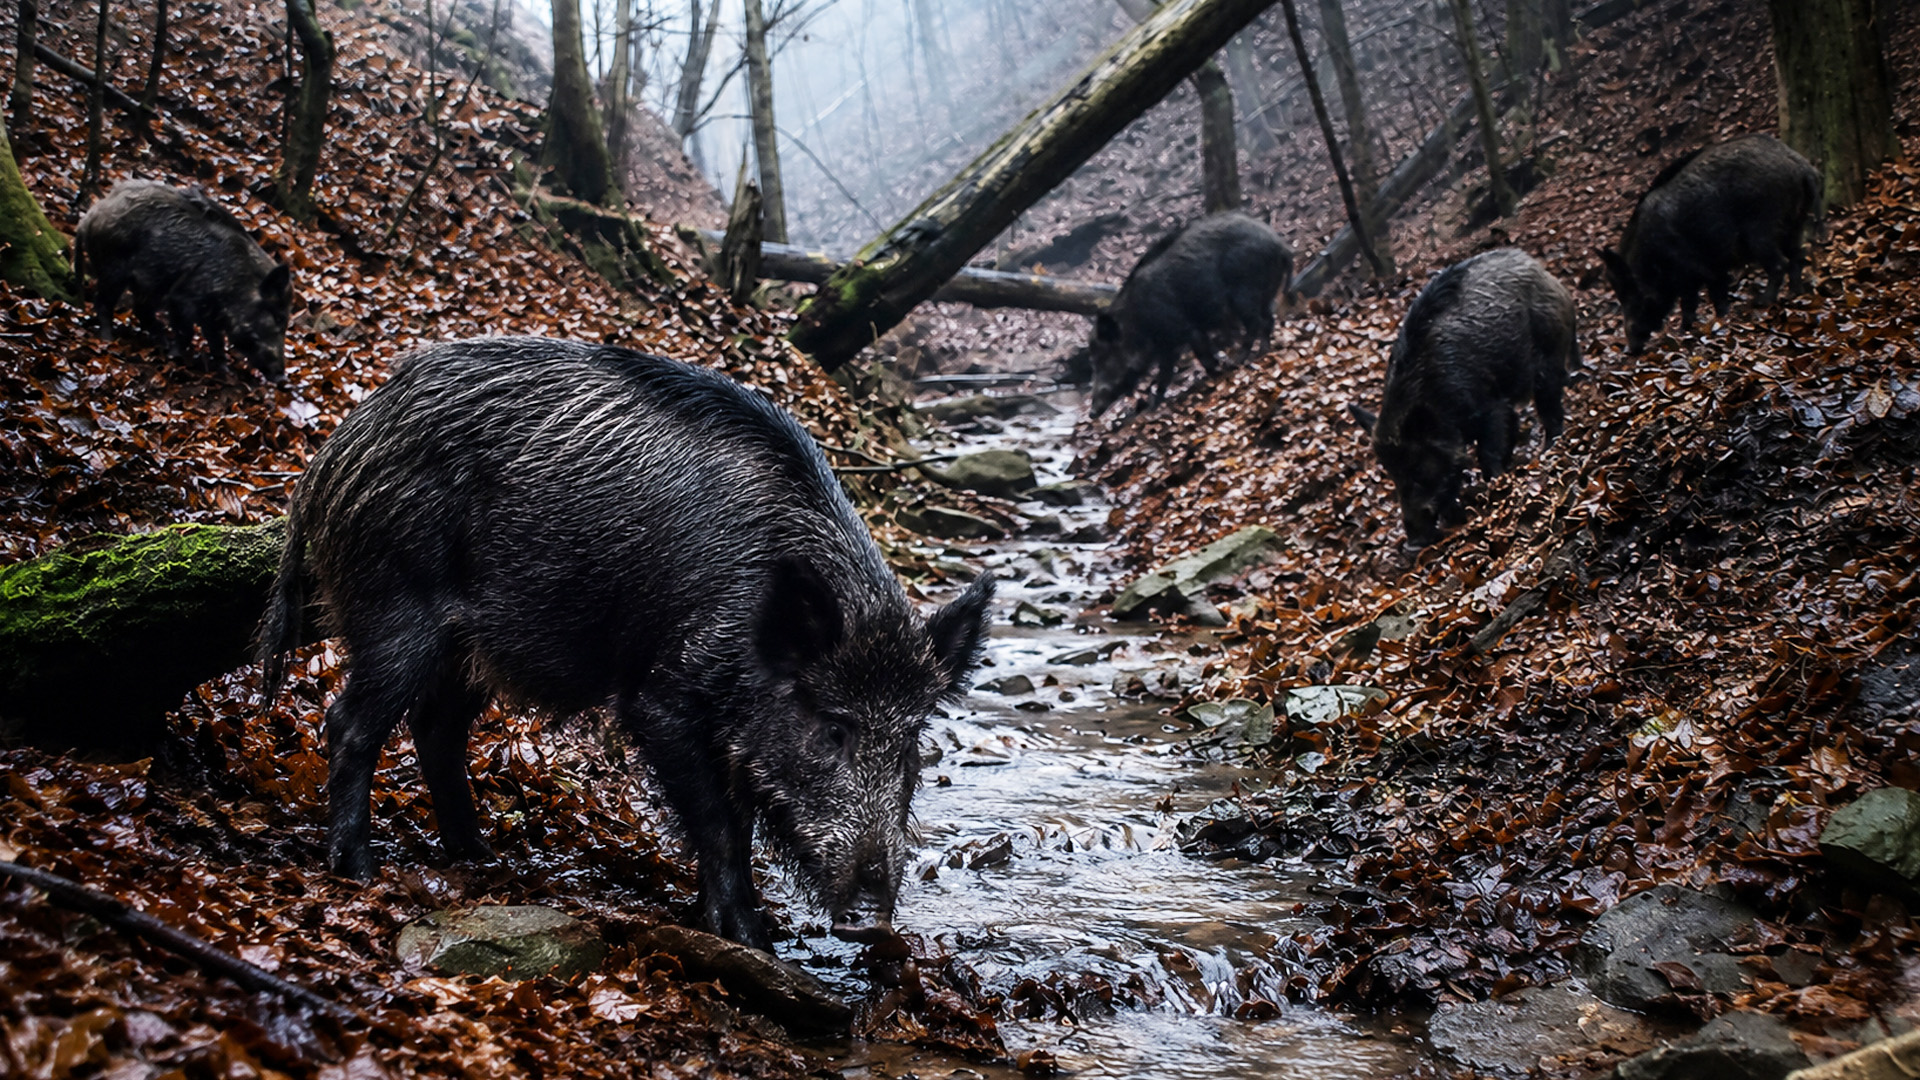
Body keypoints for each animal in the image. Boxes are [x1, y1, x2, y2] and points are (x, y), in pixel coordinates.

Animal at [74, 179, 292, 381]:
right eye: (279, 318)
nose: (282, 378)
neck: (235, 282)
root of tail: (88, 217)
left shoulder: (210, 314)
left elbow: (216, 342)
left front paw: (225, 371)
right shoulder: (183, 297)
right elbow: (187, 332)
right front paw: (176, 357)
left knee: (141, 310)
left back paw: (160, 340)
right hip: (114, 269)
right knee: (104, 303)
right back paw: (108, 339)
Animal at [257, 337, 993, 951]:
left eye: (912, 742)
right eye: (833, 729)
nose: (872, 920)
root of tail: (335, 450)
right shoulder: (663, 698)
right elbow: (721, 822)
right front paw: (751, 937)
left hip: (470, 647)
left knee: (437, 729)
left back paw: (482, 856)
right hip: (396, 606)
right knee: (350, 722)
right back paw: (359, 868)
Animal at [1089, 212, 1294, 416]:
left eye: (1104, 357)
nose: (1092, 413)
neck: (1137, 323)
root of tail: (1280, 245)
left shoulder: (1182, 328)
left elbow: (1200, 354)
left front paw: (1215, 372)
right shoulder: (1166, 346)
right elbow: (1165, 373)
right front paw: (1152, 405)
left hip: (1245, 292)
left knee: (1255, 324)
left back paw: (1240, 359)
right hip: (1266, 292)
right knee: (1268, 320)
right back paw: (1261, 352)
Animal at [1350, 248, 1577, 545]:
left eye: (1417, 469)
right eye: (1392, 475)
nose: (1413, 542)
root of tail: (1545, 273)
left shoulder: (1488, 406)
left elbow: (1487, 451)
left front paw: (1495, 487)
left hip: (1549, 355)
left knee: (1551, 407)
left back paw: (1549, 450)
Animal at [1599, 134, 1822, 354]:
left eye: (1630, 291)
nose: (1630, 349)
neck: (1650, 256)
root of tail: (1801, 165)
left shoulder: (1696, 270)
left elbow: (1700, 299)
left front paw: (1699, 326)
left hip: (1762, 228)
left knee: (1780, 263)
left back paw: (1762, 301)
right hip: (1796, 222)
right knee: (1799, 254)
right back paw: (1796, 292)